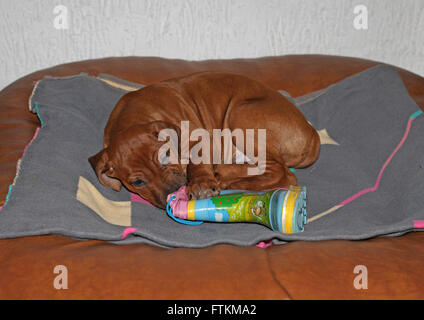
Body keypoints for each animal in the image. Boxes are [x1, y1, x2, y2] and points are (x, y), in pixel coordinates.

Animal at [90, 71, 322, 209]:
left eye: (166, 157)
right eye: (137, 182)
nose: (173, 192)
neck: (133, 117)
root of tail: (312, 134)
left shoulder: (201, 139)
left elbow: (197, 161)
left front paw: (200, 183)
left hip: (241, 115)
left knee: (284, 174)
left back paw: (225, 178)